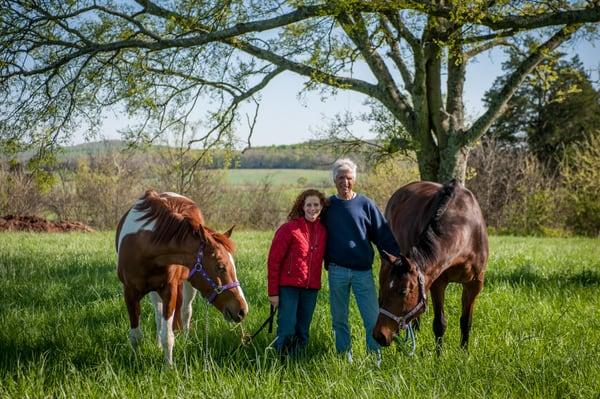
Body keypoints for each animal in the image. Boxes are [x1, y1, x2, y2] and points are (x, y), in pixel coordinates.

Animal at [116, 191, 247, 366]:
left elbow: (168, 335)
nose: (242, 310)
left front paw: (168, 367)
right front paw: (135, 362)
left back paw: (185, 340)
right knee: (158, 314)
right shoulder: (130, 293)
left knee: (185, 311)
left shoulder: (169, 290)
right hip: (154, 292)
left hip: (188, 284)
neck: (143, 246)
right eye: (220, 266)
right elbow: (136, 335)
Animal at [372, 180, 490, 350]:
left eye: (403, 291)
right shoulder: (437, 283)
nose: (379, 335)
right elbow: (440, 324)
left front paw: (464, 352)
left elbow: (466, 322)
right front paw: (438, 355)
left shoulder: (474, 284)